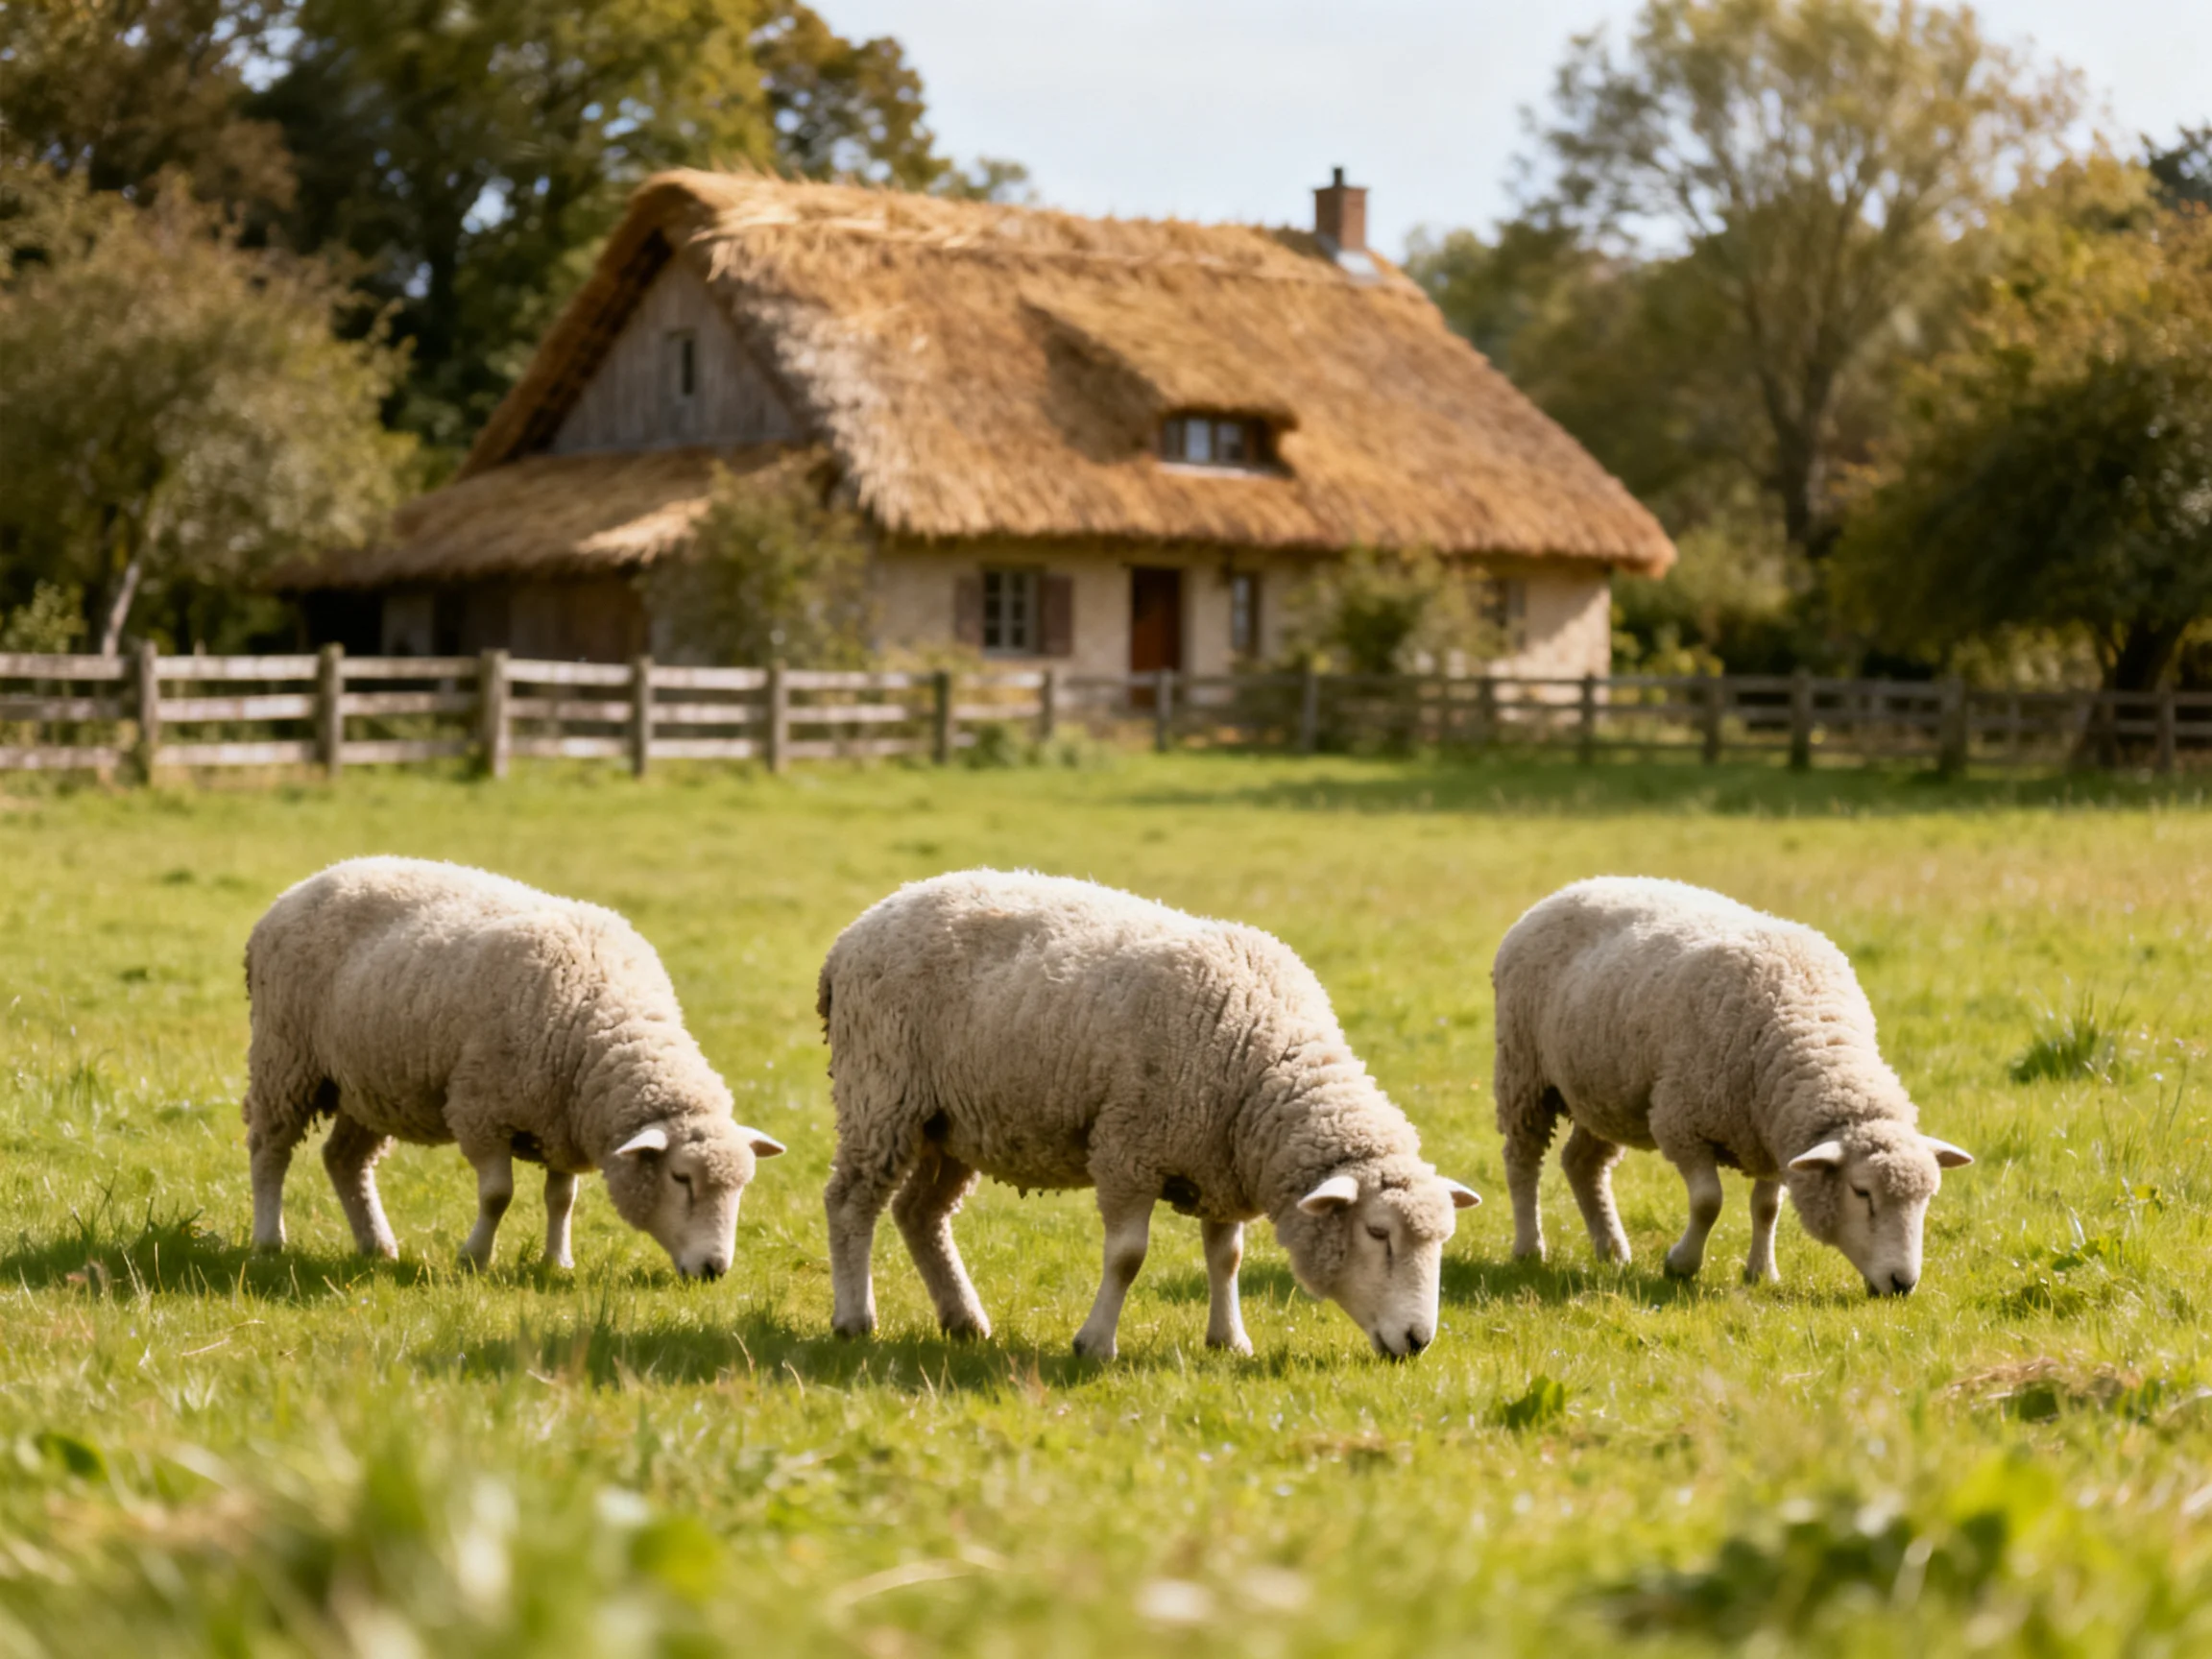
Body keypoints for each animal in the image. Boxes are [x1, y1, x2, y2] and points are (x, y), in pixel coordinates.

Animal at [242, 857, 784, 1277]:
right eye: (680, 1179)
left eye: (741, 1187)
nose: (714, 1269)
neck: (601, 1017)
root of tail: (304, 885)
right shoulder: (482, 1109)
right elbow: (498, 1195)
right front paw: (474, 1258)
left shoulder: (562, 1121)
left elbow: (562, 1198)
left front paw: (557, 1261)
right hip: (285, 1057)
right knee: (270, 1148)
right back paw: (270, 1239)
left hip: (369, 1084)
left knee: (344, 1160)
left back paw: (377, 1245)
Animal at [816, 870, 1479, 1360]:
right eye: (1378, 1234)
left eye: (1442, 1238)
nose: (1418, 1341)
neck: (1262, 1056)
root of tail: (860, 927)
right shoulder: (1127, 1151)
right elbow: (1128, 1257)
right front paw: (1094, 1344)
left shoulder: (1219, 1164)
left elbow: (1226, 1257)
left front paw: (1229, 1340)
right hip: (881, 1094)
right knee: (851, 1202)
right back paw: (854, 1318)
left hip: (952, 1123)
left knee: (920, 1215)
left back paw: (963, 1319)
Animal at [1492, 876, 1971, 1296]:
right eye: (1862, 1192)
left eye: (1927, 1199)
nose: (1902, 1284)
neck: (1812, 1028)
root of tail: (1571, 888)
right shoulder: (1680, 1122)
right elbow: (1708, 1201)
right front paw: (1681, 1265)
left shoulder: (1773, 1136)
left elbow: (1766, 1208)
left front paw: (1762, 1273)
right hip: (1523, 1072)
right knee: (1523, 1162)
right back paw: (1530, 1247)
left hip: (1604, 1094)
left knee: (1582, 1164)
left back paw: (1611, 1250)